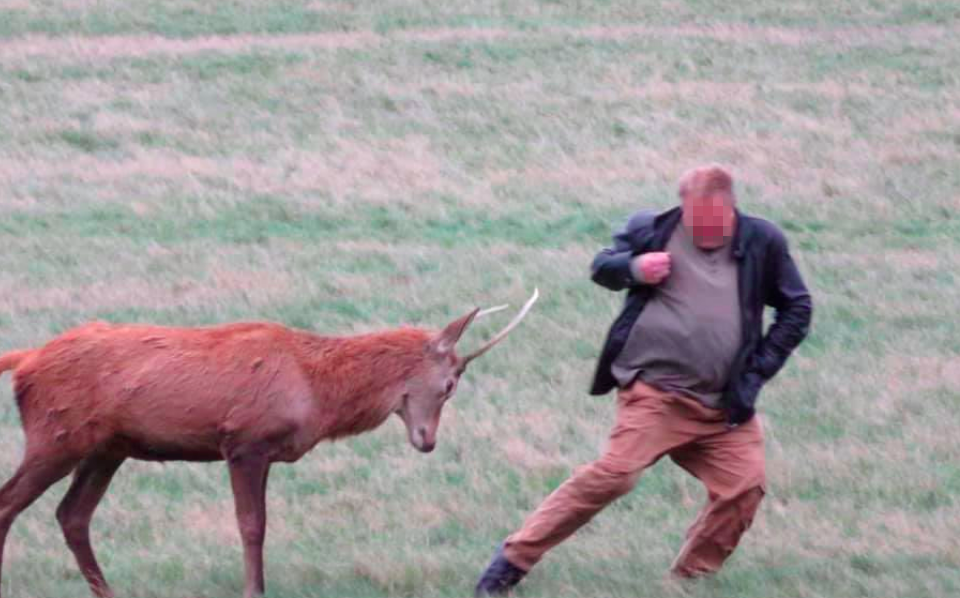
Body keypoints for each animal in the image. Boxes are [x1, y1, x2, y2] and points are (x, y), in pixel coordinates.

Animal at [0, 288, 536, 596]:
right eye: (449, 384)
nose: (427, 441)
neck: (317, 391)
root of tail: (25, 362)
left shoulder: (264, 453)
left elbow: (261, 525)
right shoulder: (244, 441)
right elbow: (251, 526)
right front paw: (253, 590)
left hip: (107, 447)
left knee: (72, 515)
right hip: (56, 435)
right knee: (11, 503)